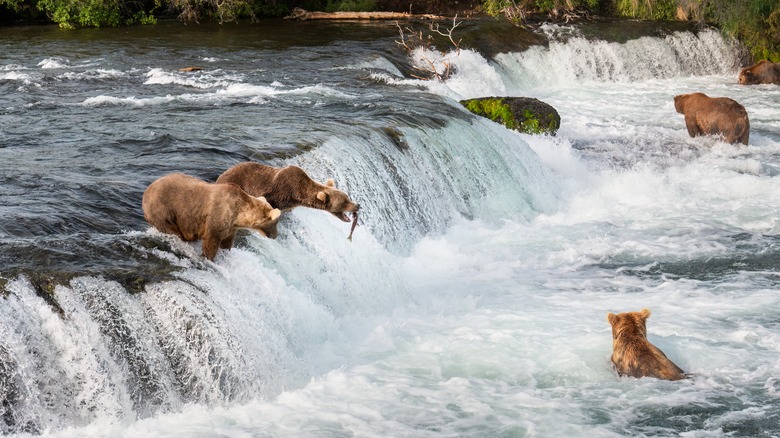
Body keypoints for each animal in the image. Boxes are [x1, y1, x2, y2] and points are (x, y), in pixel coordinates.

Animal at [142, 173, 282, 262]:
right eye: (276, 223)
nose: (276, 236)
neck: (238, 214)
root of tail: (147, 190)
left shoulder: (230, 227)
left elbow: (227, 241)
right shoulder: (218, 215)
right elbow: (211, 240)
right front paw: (209, 257)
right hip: (163, 209)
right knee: (171, 229)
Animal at [218, 162, 362, 240]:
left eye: (348, 197)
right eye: (345, 201)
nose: (358, 205)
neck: (297, 193)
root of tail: (220, 176)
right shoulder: (277, 190)